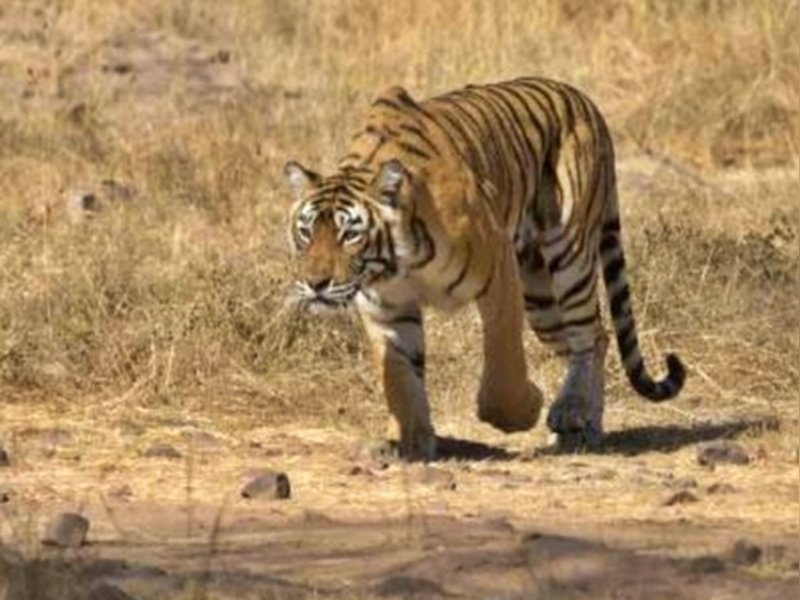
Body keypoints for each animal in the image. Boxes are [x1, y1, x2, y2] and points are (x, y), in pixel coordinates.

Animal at [284, 77, 685, 460]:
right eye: (306, 232)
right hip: (542, 299)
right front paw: (409, 442)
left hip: (568, 255)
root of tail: (584, 101)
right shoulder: (386, 308)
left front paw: (527, 409)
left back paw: (571, 414)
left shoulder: (498, 268)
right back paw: (583, 426)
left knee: (592, 335)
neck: (397, 264)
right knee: (584, 342)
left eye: (349, 234)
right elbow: (400, 379)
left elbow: (502, 374)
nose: (315, 283)